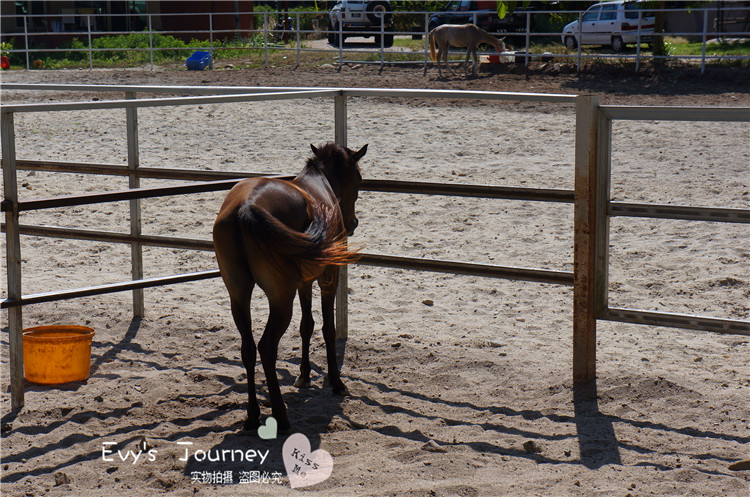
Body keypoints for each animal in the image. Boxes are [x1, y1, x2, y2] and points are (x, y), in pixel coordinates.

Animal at [212, 142, 368, 430]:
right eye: (359, 179)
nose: (352, 223)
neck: (319, 182)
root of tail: (246, 207)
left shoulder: (303, 282)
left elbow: (307, 325)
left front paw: (304, 375)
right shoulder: (328, 276)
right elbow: (328, 328)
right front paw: (336, 382)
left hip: (239, 295)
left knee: (248, 348)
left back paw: (252, 415)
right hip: (280, 299)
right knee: (266, 347)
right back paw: (280, 416)